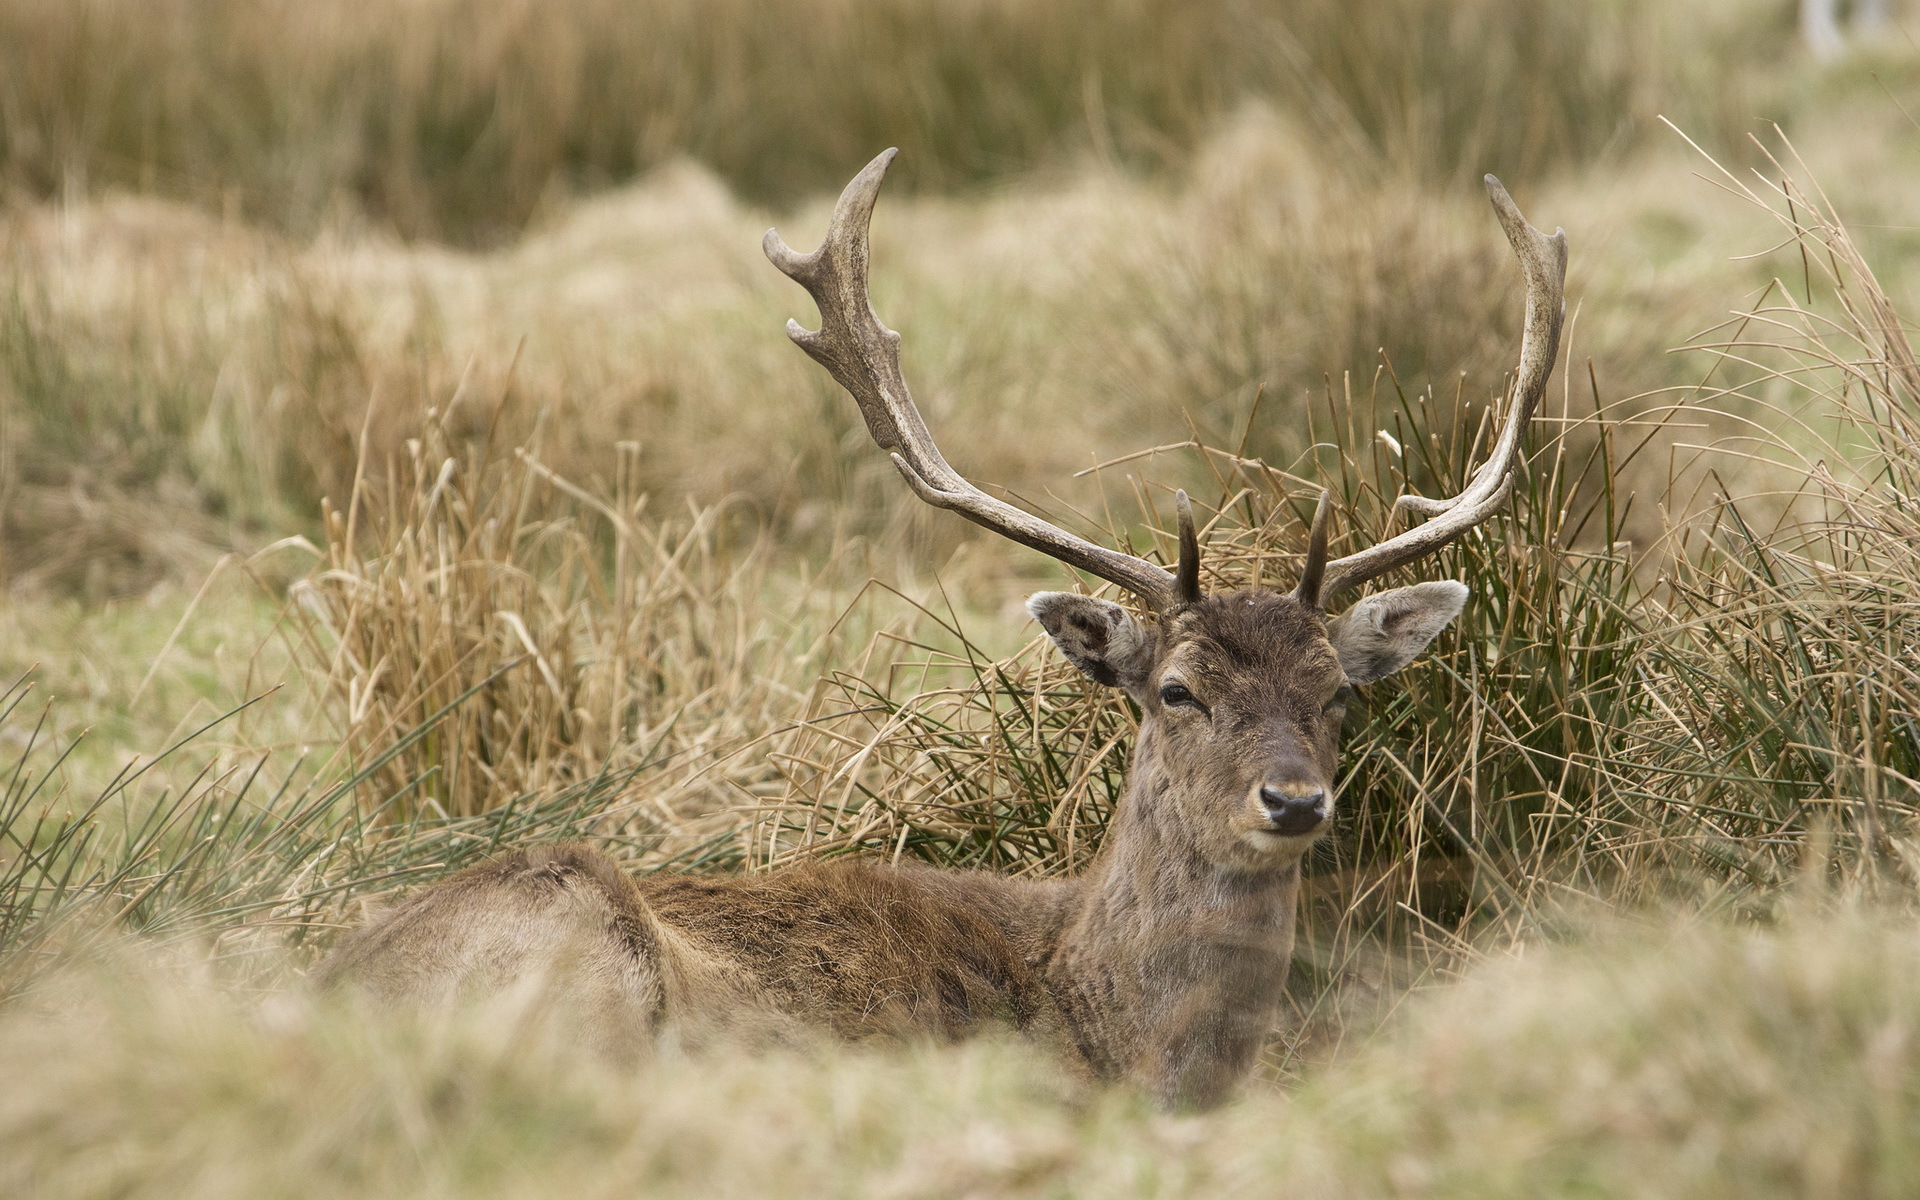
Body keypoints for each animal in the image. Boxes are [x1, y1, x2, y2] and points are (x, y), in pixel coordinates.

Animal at [314, 151, 1566, 1113]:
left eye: (1339, 690)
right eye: (1175, 689)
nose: (1294, 800)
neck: (1106, 1024)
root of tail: (318, 994)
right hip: (578, 942)